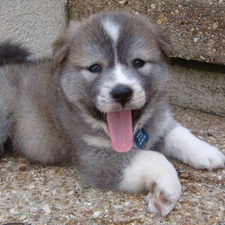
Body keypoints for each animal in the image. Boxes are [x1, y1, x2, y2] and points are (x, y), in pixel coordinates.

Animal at [0, 11, 225, 216]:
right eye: (95, 67)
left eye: (138, 62)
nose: (122, 92)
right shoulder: (95, 157)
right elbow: (154, 157)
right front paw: (167, 192)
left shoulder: (159, 121)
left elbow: (178, 133)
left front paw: (206, 152)